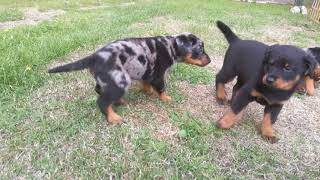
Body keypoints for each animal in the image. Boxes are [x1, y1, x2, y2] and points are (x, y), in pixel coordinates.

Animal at [48, 32, 210, 124]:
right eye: (200, 48)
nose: (210, 60)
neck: (170, 46)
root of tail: (93, 57)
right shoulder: (158, 76)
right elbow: (162, 88)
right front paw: (165, 98)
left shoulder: (147, 72)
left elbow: (146, 83)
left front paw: (149, 92)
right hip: (121, 81)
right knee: (102, 101)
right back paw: (113, 118)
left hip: (109, 80)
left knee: (100, 91)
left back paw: (118, 102)